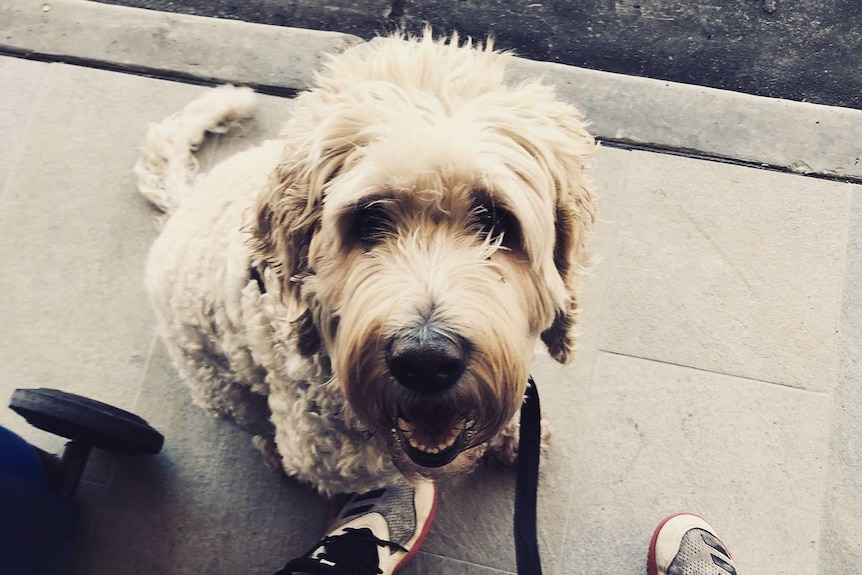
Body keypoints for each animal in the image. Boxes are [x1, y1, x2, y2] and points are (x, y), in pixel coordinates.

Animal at [138, 31, 596, 498]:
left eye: (496, 220)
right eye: (369, 219)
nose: (426, 362)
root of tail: (184, 202)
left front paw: (513, 434)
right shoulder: (330, 457)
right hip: (218, 384)